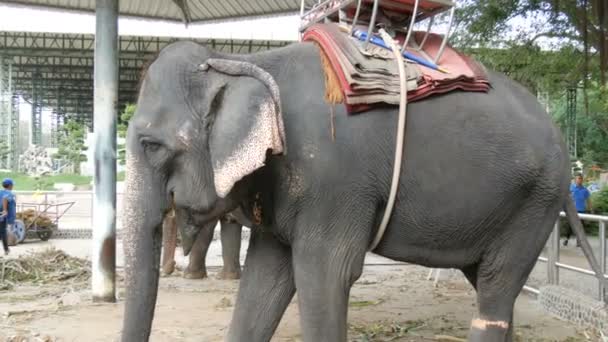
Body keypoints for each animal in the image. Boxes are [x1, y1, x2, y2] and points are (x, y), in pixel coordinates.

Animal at [120, 37, 604, 342]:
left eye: (151, 145)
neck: (241, 61)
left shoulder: (332, 181)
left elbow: (325, 274)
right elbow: (266, 280)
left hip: (536, 198)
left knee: (495, 288)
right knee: (491, 284)